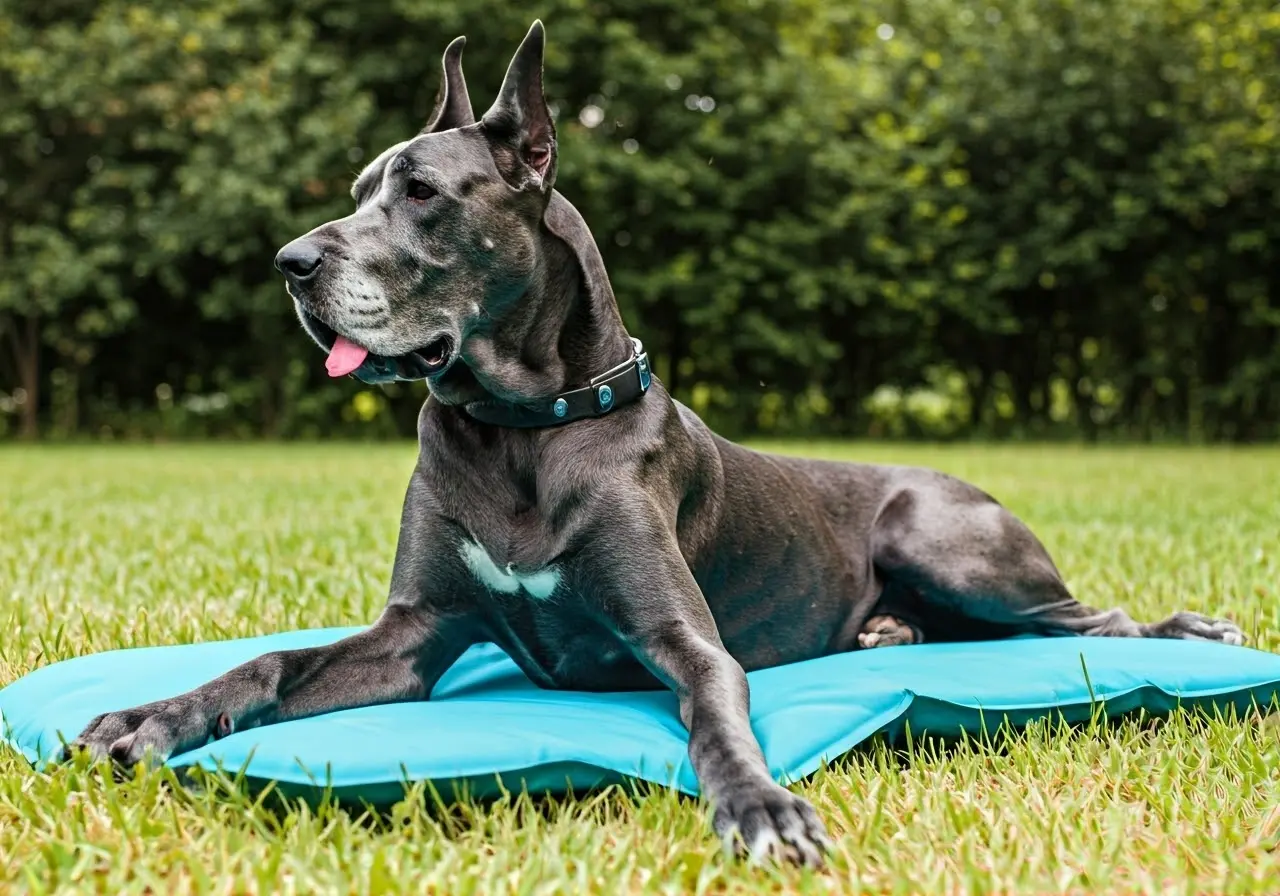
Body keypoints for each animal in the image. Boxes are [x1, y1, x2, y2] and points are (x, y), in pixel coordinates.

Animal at [70, 22, 1239, 870]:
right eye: (359, 190)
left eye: (423, 194)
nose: (291, 263)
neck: (522, 430)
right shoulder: (412, 636)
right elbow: (268, 660)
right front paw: (148, 716)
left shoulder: (684, 640)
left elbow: (716, 713)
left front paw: (762, 806)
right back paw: (886, 635)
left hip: (943, 536)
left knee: (1093, 620)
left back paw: (1189, 629)